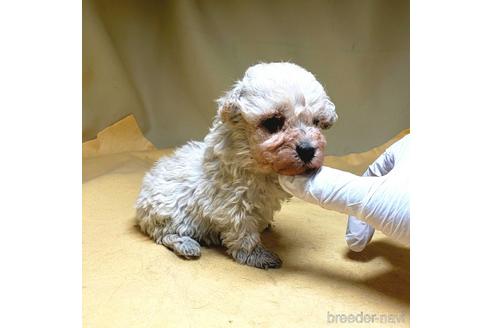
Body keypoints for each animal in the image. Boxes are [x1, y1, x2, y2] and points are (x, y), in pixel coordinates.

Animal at [135, 62, 336, 270]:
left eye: (316, 122)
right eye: (273, 122)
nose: (308, 150)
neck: (256, 164)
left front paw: (263, 227)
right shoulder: (233, 204)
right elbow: (243, 233)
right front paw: (257, 256)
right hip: (167, 214)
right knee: (165, 235)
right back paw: (186, 244)